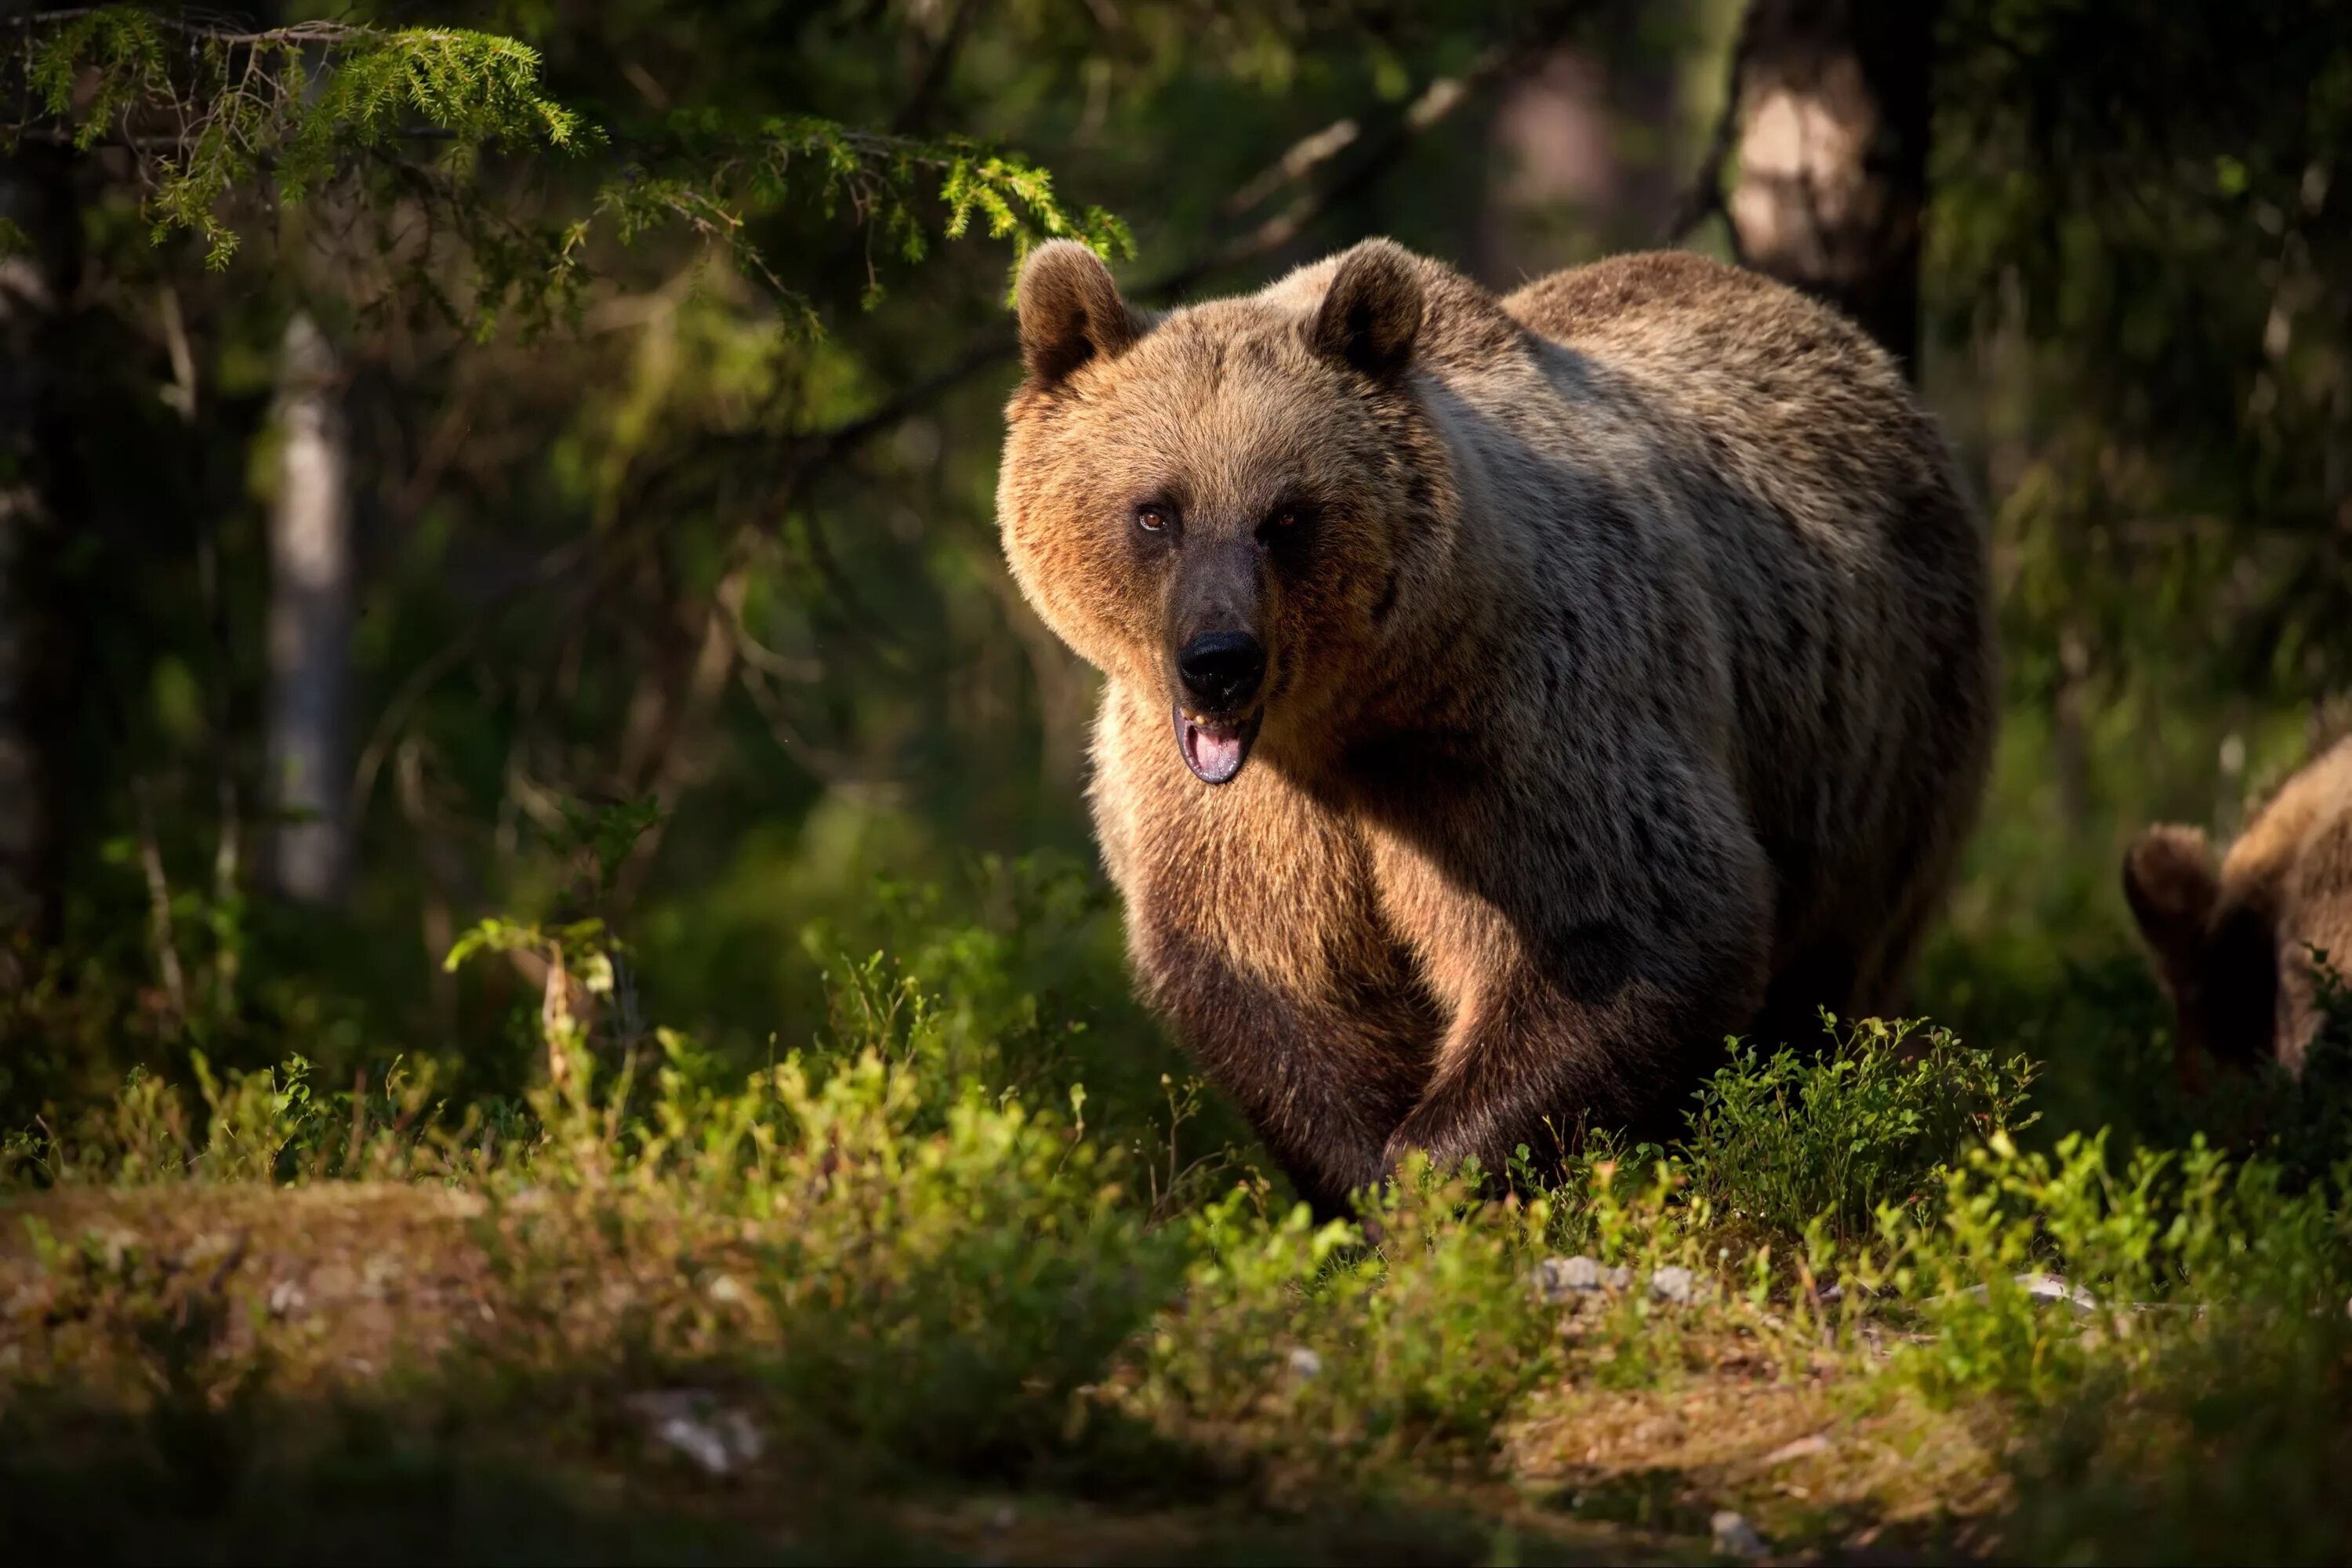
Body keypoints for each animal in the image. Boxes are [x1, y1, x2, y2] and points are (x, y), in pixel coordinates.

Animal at [997, 239, 2004, 1213]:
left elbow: (1627, 930)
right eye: (1156, 509)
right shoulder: (1236, 811)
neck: (1347, 718)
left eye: (1286, 515)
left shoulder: (1524, 728)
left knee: (1828, 979)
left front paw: (1433, 1177)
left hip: (1884, 744)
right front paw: (1361, 1181)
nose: (1219, 658)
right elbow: (1269, 968)